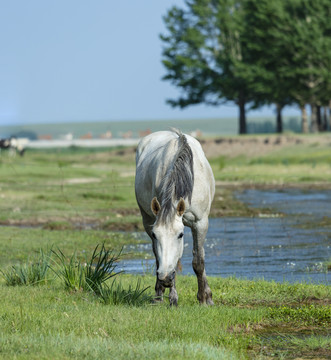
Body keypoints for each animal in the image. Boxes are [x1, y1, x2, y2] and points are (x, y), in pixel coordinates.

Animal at [135, 129, 215, 304]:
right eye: (155, 234)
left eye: (180, 235)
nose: (165, 278)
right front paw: (172, 296)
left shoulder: (200, 223)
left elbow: (199, 260)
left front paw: (204, 298)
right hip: (146, 218)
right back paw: (159, 295)